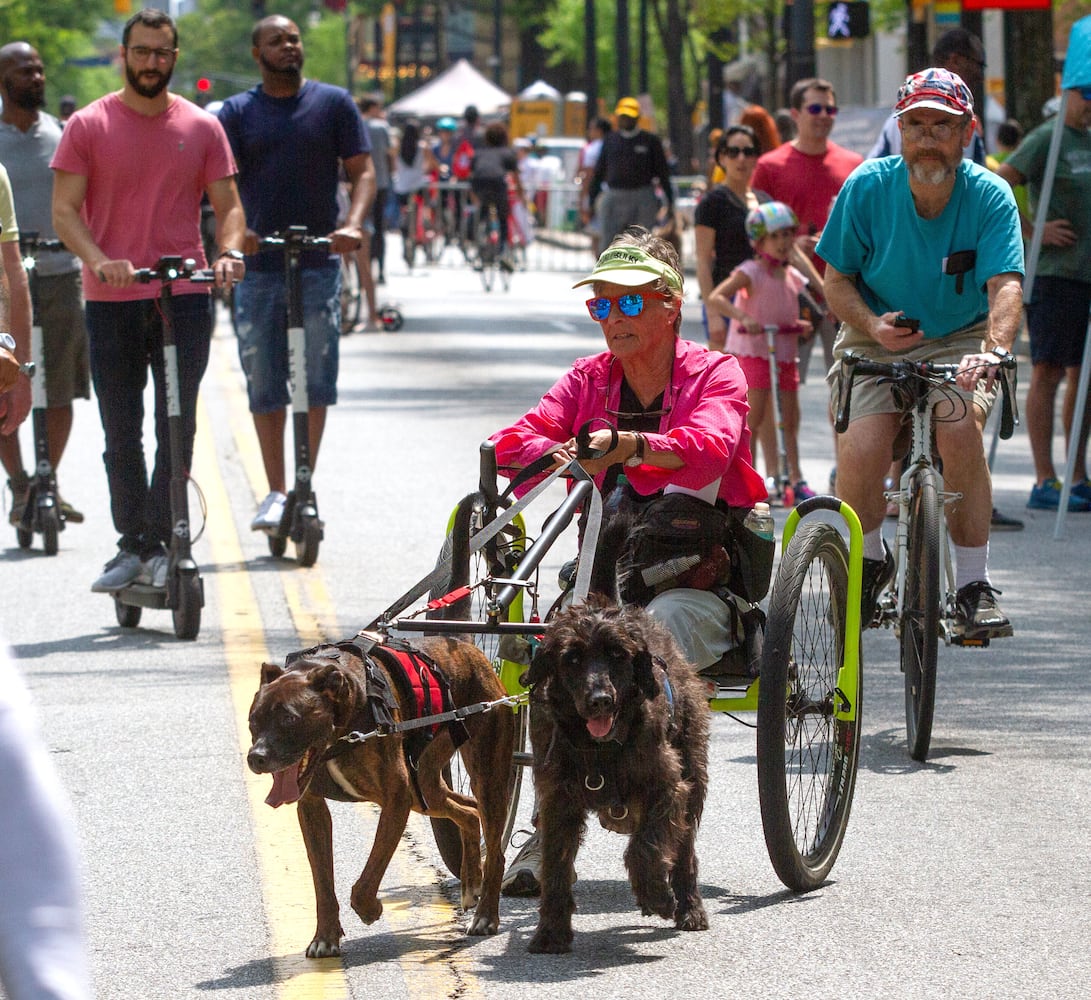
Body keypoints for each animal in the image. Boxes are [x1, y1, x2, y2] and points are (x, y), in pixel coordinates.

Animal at [521, 593, 711, 950]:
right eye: (572, 658)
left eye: (618, 654)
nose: (600, 700)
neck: (600, 750)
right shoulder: (557, 801)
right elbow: (555, 863)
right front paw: (551, 932)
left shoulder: (668, 787)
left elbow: (646, 846)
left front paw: (656, 895)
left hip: (693, 775)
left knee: (684, 851)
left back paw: (690, 909)